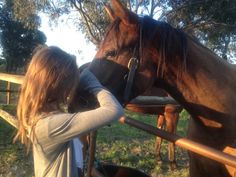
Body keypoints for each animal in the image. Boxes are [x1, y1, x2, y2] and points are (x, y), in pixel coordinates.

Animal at [87, 0, 236, 176]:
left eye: (111, 52)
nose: (76, 94)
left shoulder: (165, 114)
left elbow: (162, 134)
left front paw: (159, 158)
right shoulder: (171, 113)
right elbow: (170, 136)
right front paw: (172, 163)